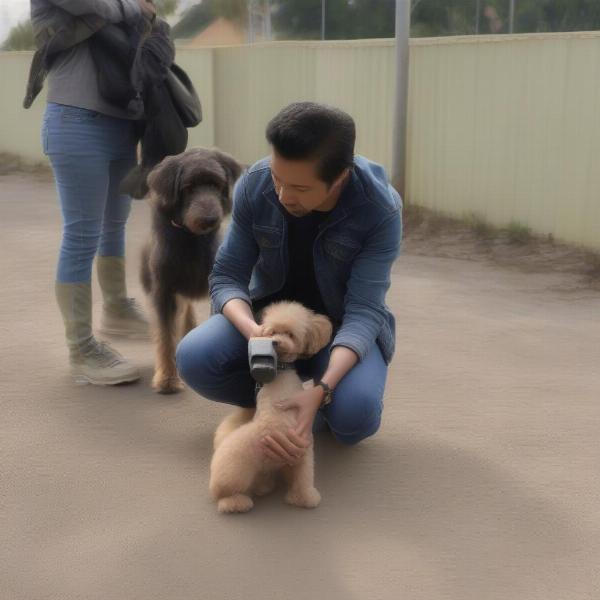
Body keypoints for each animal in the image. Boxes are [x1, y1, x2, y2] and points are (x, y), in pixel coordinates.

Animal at [142, 148, 243, 394]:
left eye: (216, 185)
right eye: (188, 187)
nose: (209, 220)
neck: (191, 238)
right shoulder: (164, 292)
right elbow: (165, 334)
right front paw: (167, 379)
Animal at [210, 302, 332, 512]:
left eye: (290, 334)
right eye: (272, 332)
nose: (275, 342)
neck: (280, 373)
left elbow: (299, 476)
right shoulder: (302, 448)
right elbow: (304, 477)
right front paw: (305, 499)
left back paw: (263, 488)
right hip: (236, 475)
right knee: (225, 497)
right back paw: (239, 503)